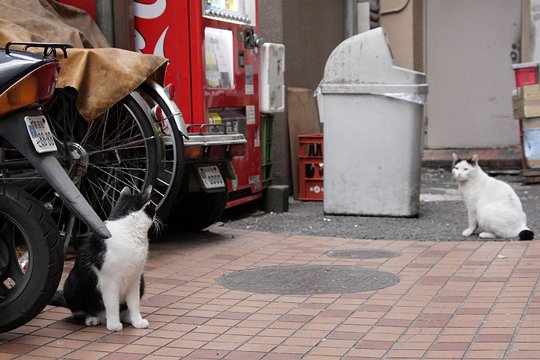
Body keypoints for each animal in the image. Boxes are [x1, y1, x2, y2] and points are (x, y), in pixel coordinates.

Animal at [50, 186, 157, 332]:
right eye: (152, 207)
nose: (156, 213)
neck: (129, 233)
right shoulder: (109, 281)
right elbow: (112, 305)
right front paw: (113, 325)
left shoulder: (135, 278)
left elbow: (134, 303)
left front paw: (137, 321)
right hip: (72, 285)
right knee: (83, 311)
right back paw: (92, 319)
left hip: (142, 282)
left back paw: (126, 317)